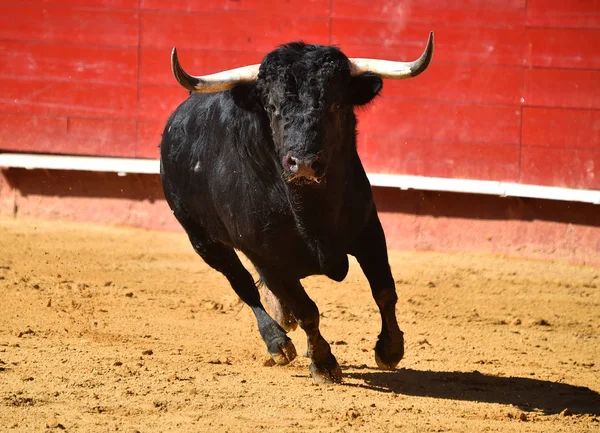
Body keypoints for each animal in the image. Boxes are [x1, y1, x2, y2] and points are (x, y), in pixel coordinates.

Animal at [157, 36, 434, 382]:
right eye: (272, 108)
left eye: (336, 104)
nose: (302, 163)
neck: (312, 210)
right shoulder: (268, 259)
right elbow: (307, 311)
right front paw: (324, 363)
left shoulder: (369, 229)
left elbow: (384, 290)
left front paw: (390, 349)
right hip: (202, 239)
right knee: (243, 284)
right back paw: (277, 343)